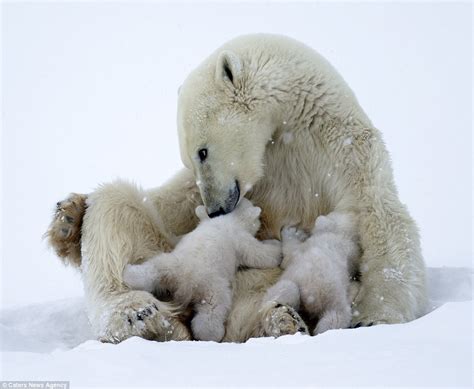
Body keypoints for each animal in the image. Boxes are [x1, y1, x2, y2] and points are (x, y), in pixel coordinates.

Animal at [124, 199, 284, 342]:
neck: (227, 220)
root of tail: (185, 282)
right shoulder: (240, 239)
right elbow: (258, 254)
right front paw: (277, 247)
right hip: (212, 287)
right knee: (212, 311)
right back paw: (212, 334)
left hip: (168, 265)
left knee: (151, 271)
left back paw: (130, 274)